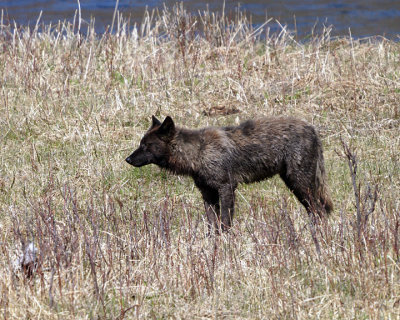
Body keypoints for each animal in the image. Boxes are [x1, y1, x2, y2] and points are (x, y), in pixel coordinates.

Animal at [126, 115, 332, 232]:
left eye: (146, 146)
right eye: (140, 144)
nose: (127, 159)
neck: (199, 152)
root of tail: (312, 128)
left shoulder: (226, 187)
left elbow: (225, 221)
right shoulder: (207, 194)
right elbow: (212, 225)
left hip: (300, 183)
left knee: (319, 211)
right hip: (295, 185)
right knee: (315, 211)